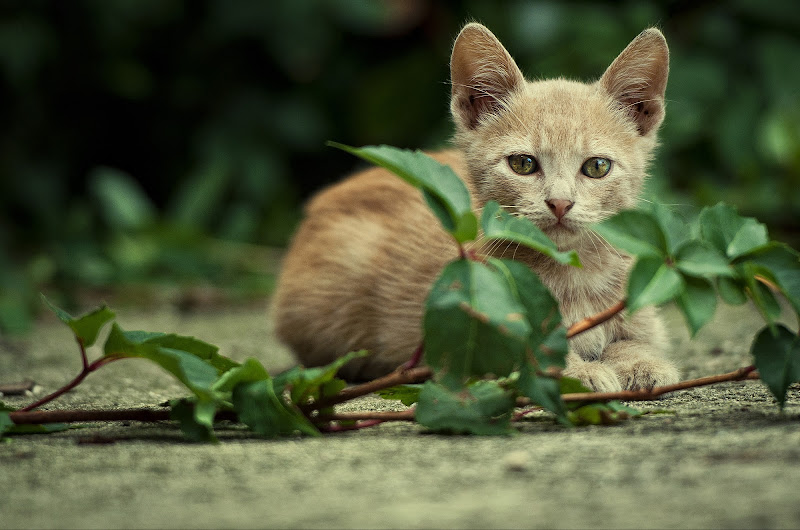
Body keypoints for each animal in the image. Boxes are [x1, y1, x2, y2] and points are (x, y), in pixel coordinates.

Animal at [272, 22, 680, 390]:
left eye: (597, 167)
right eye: (523, 164)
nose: (560, 203)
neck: (572, 277)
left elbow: (636, 341)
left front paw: (641, 363)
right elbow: (530, 357)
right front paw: (579, 371)